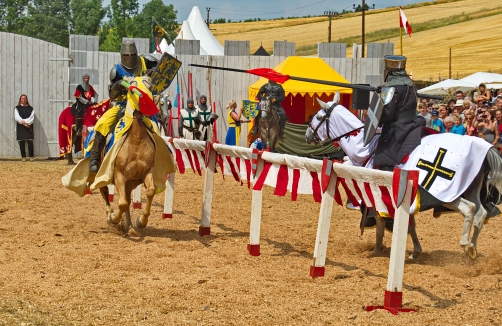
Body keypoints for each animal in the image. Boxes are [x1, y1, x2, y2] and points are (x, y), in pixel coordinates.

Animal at [304, 92, 502, 260]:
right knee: (480, 213)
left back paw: (466, 244)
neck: (362, 147)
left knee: (469, 209)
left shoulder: (379, 197)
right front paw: (415, 251)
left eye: (318, 117)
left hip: (446, 195)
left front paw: (377, 250)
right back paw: (472, 250)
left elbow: (382, 224)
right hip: (471, 189)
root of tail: (484, 147)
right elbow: (409, 223)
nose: (307, 135)